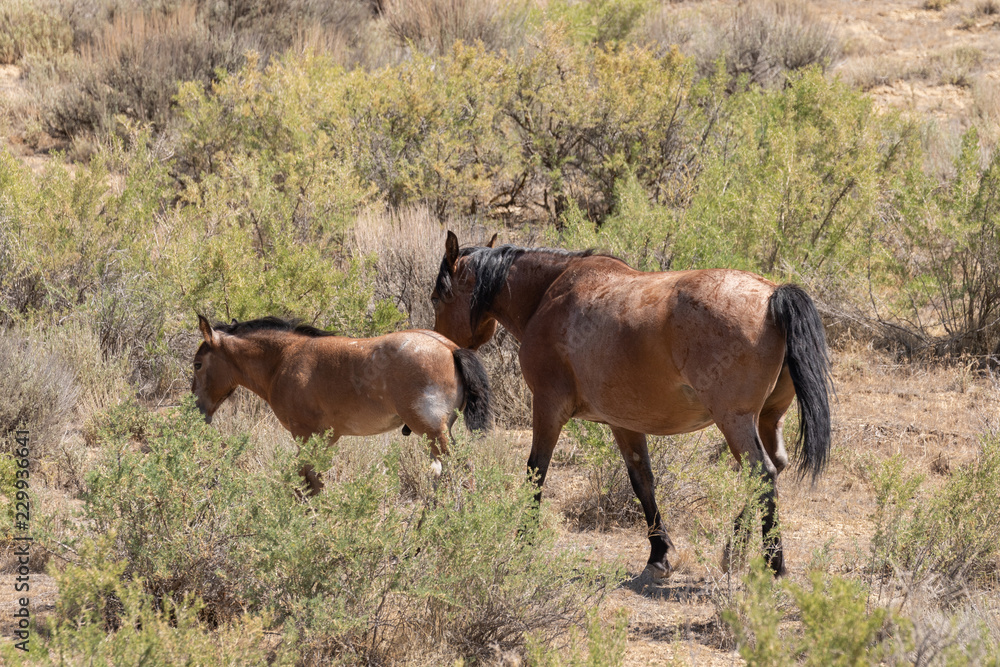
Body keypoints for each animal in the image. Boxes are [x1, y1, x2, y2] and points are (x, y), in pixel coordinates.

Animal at [191, 315, 492, 495]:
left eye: (197, 364)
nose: (196, 411)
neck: (284, 359)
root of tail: (450, 348)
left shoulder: (304, 434)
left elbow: (307, 479)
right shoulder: (325, 438)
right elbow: (315, 480)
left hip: (433, 433)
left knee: (462, 470)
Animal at [431, 232, 832, 579]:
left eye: (438, 297)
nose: (442, 348)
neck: (549, 292)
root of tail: (773, 295)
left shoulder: (547, 407)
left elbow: (536, 472)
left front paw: (523, 540)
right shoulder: (623, 422)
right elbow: (642, 481)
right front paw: (659, 555)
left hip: (734, 421)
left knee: (762, 473)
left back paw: (773, 563)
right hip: (767, 419)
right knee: (774, 468)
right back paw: (734, 550)